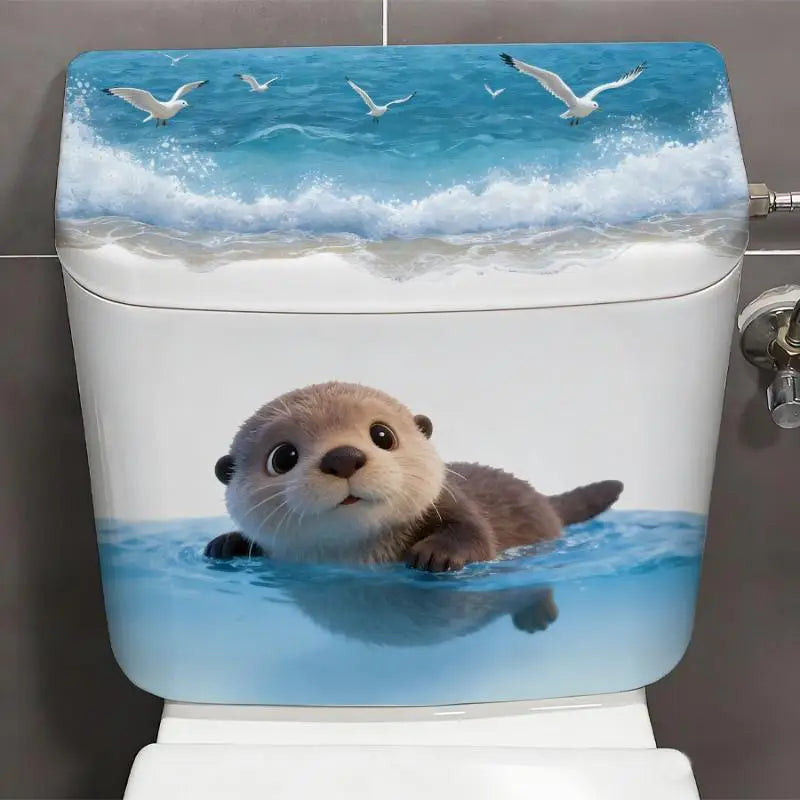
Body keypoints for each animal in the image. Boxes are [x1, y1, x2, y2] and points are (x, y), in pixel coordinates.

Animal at [204, 381, 623, 573]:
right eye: (282, 457)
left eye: (382, 435)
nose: (343, 457)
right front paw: (227, 543)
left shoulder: (453, 503)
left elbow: (477, 536)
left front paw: (438, 553)